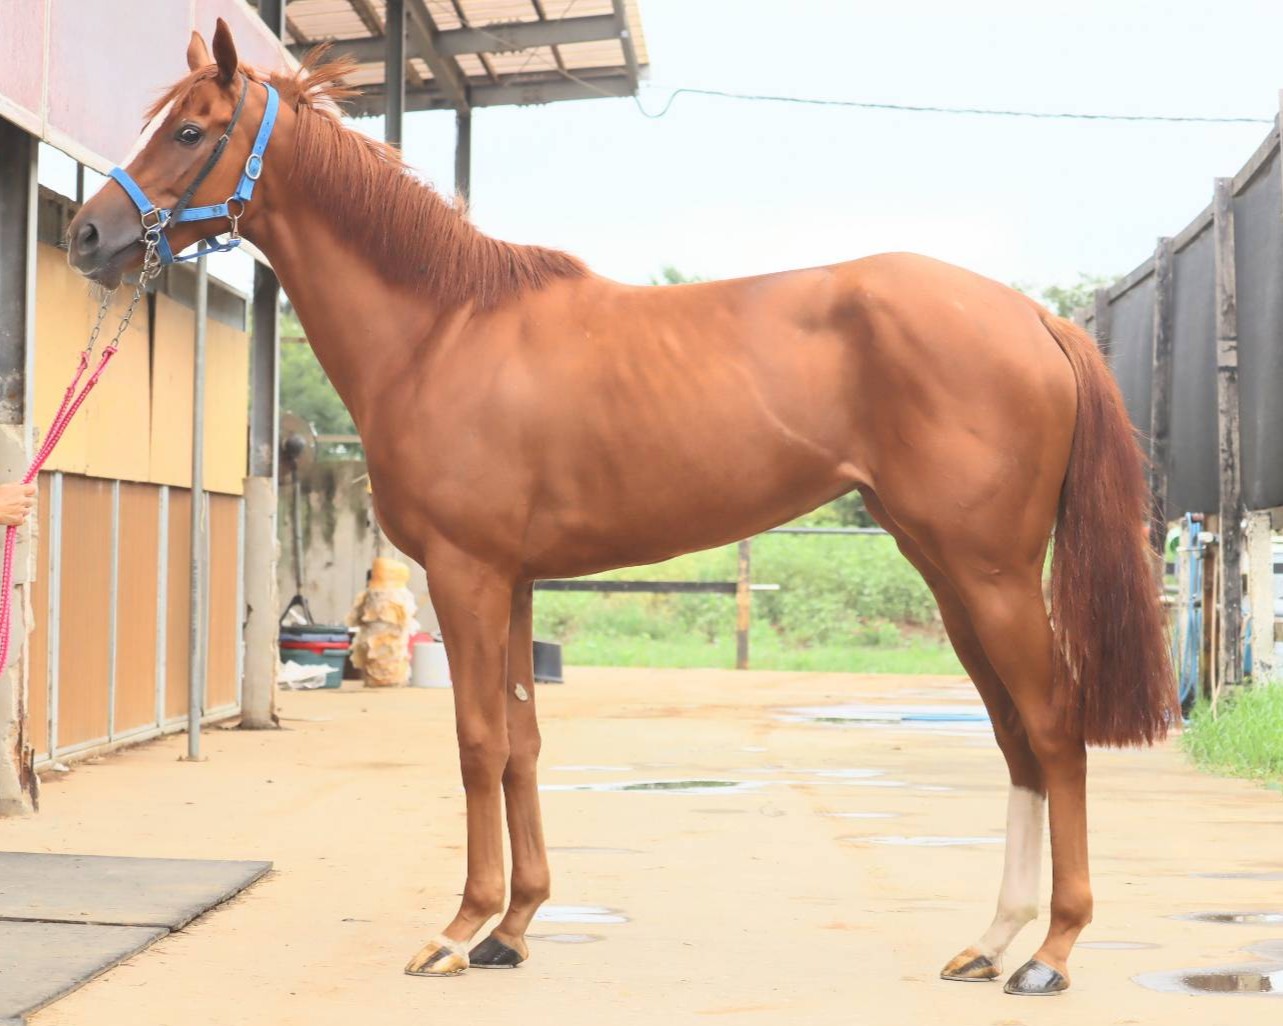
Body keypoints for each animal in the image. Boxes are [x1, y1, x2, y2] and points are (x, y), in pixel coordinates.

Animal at [66, 19, 1176, 997]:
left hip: (990, 576)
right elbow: (521, 743)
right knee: (1012, 737)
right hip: (949, 576)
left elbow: (475, 743)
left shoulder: (466, 576)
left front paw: (457, 929)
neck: (440, 332)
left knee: (1053, 730)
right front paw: (513, 929)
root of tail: (1030, 317)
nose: (86, 233)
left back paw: (1051, 952)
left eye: (191, 131)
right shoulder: (511, 582)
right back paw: (989, 941)